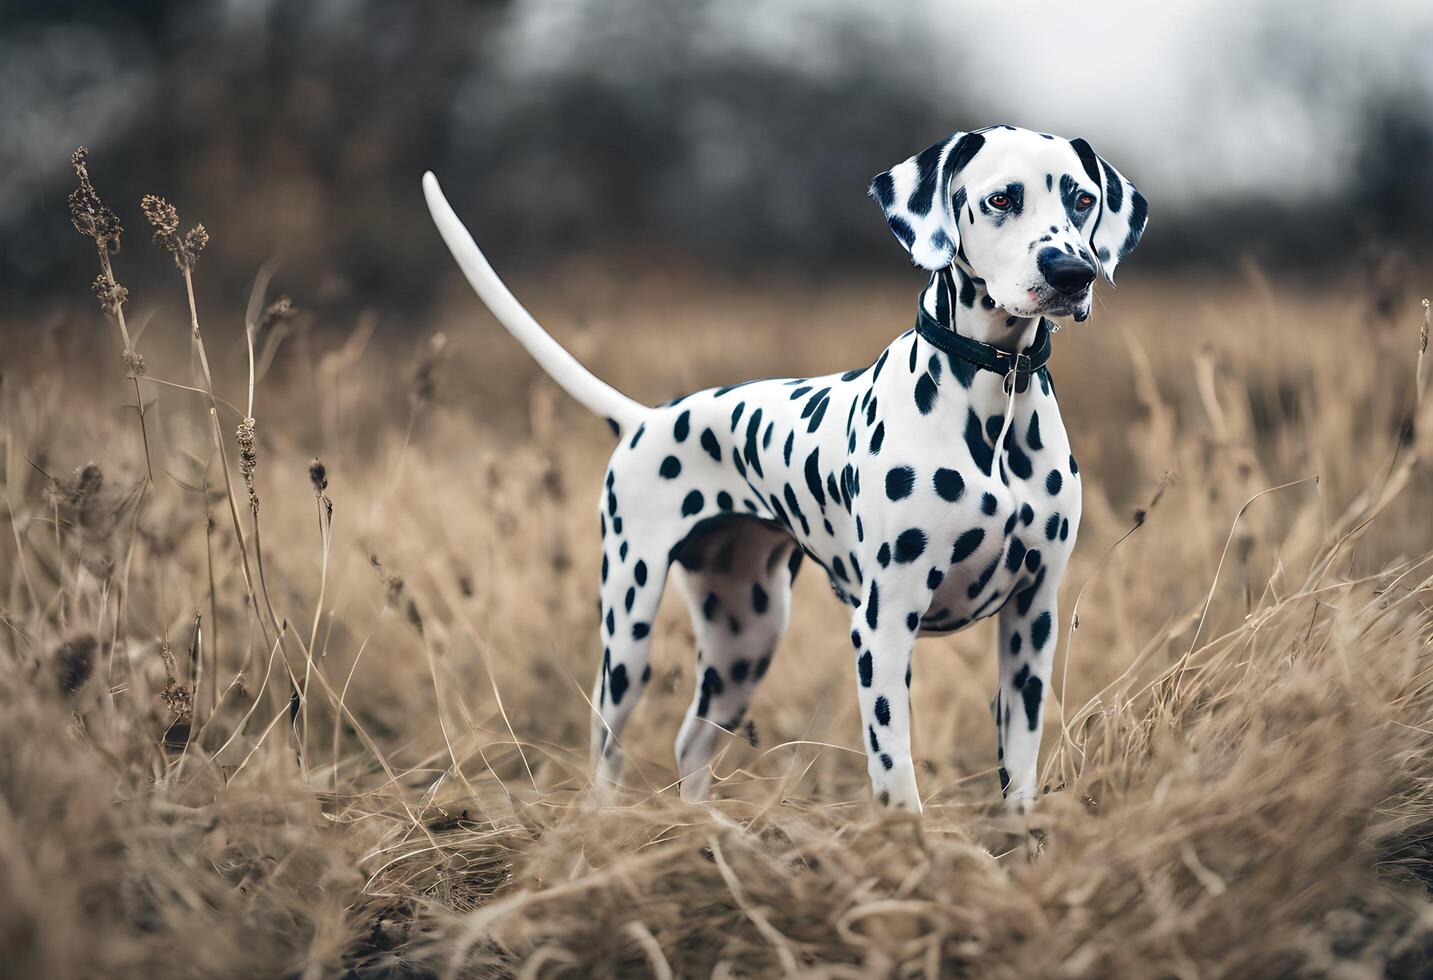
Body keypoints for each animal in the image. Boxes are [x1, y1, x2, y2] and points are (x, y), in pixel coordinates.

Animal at [418, 122, 1146, 813]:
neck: (994, 405)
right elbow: (896, 778)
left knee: (690, 741)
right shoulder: (884, 626)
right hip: (627, 631)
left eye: (1082, 200)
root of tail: (645, 418)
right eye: (1001, 199)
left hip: (746, 634)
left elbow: (1018, 777)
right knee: (607, 751)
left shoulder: (1031, 623)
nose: (1072, 271)